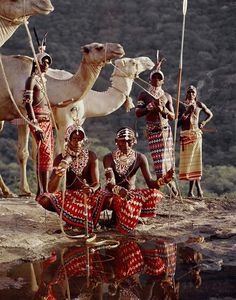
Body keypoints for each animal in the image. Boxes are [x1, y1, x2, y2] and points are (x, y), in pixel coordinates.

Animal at [0, 42, 124, 197]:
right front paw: (26, 191)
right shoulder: (24, 111)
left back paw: (7, 191)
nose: (119, 48)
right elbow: (26, 152)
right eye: (99, 47)